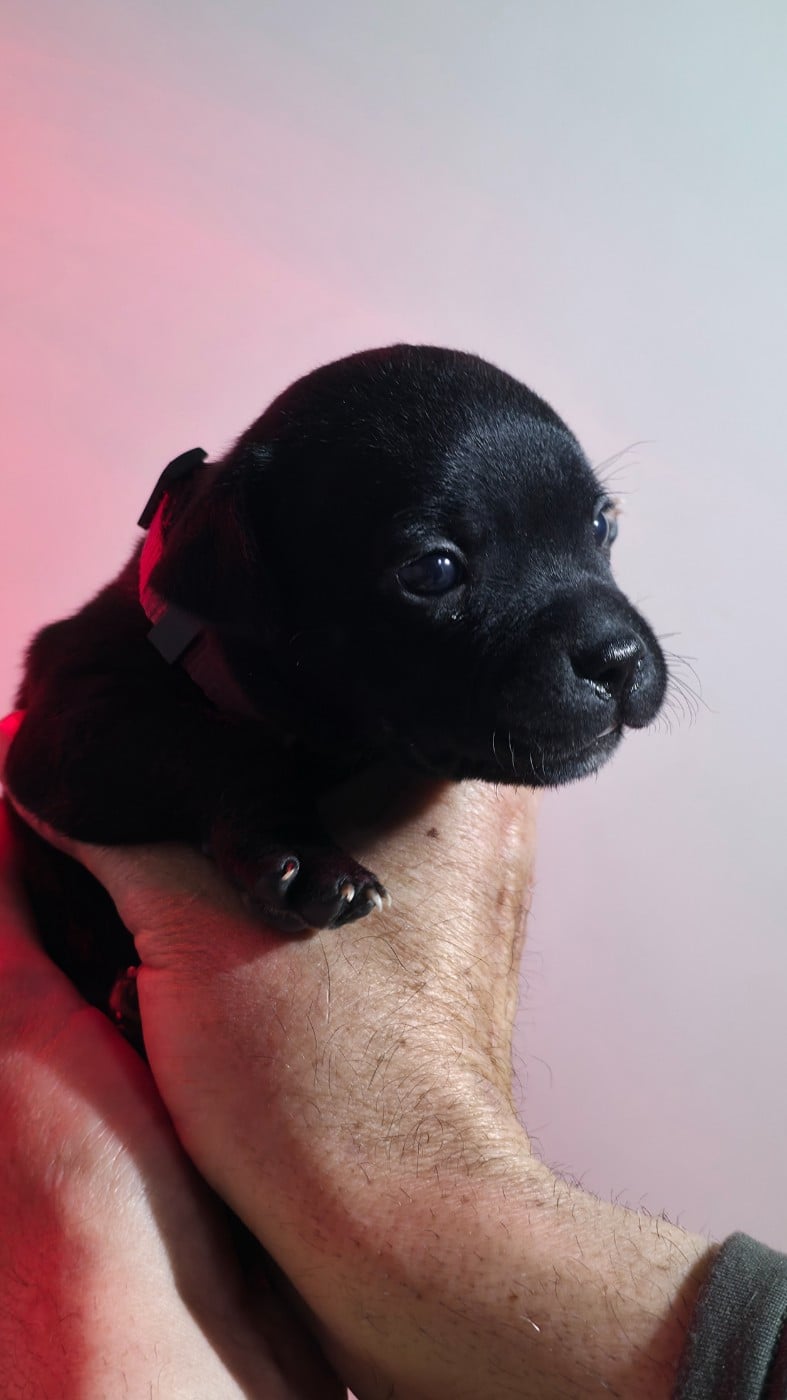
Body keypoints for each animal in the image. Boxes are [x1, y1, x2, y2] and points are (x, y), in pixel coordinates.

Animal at [5, 344, 667, 1025]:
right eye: (432, 569)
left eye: (602, 525)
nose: (619, 660)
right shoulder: (61, 734)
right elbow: (215, 745)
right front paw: (306, 860)